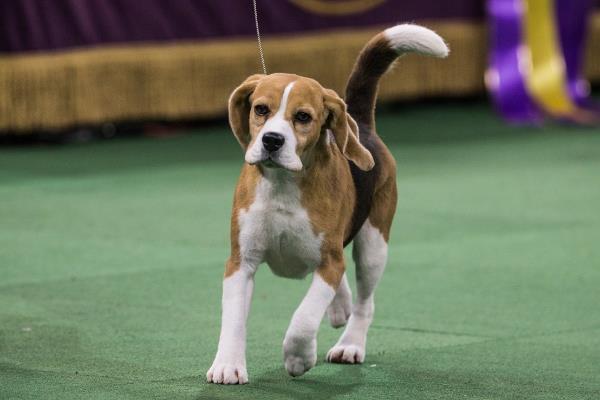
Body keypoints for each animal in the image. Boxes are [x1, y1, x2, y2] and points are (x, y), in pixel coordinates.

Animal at [206, 24, 446, 384]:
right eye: (260, 110)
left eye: (303, 117)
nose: (272, 140)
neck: (283, 184)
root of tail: (362, 124)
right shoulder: (240, 262)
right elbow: (233, 318)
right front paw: (228, 365)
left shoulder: (329, 264)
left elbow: (304, 318)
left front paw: (298, 357)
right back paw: (340, 307)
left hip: (374, 245)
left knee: (364, 302)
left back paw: (351, 344)